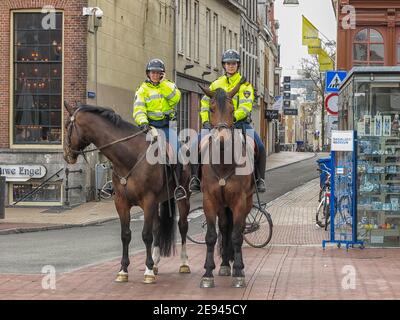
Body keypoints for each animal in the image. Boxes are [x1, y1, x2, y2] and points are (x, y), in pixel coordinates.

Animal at [63, 101, 191, 284]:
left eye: (67, 125)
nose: (67, 155)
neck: (129, 157)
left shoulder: (148, 201)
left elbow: (146, 235)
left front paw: (148, 270)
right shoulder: (122, 203)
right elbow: (126, 235)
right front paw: (123, 270)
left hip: (182, 196)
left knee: (182, 226)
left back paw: (183, 263)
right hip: (159, 200)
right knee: (158, 227)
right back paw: (156, 262)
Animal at [198, 79, 256, 288]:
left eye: (232, 109)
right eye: (211, 108)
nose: (222, 139)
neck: (223, 163)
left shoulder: (239, 202)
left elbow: (237, 236)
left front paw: (238, 272)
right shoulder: (209, 201)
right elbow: (211, 236)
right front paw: (208, 273)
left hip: (246, 202)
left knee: (237, 230)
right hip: (222, 206)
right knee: (224, 227)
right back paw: (223, 264)